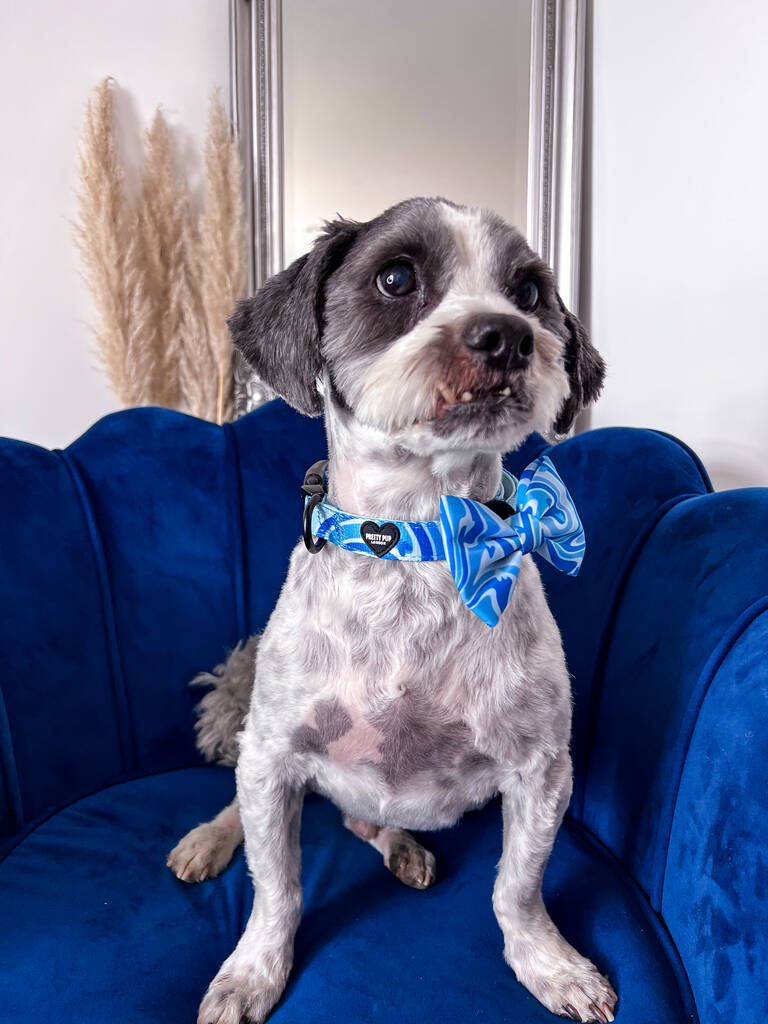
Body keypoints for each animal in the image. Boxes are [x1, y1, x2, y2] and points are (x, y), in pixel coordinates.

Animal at [167, 197, 614, 1024]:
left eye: (530, 293)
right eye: (397, 277)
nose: (505, 335)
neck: (418, 542)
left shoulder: (542, 771)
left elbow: (518, 889)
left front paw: (549, 964)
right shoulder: (274, 757)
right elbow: (276, 890)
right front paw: (251, 972)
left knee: (362, 820)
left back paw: (401, 846)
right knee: (249, 810)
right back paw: (210, 840)